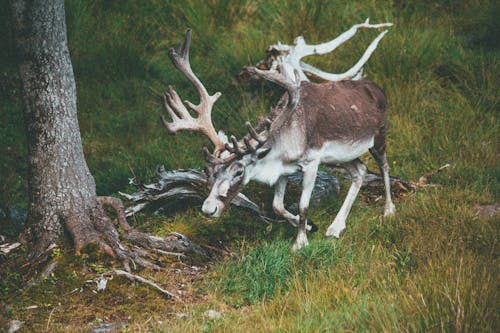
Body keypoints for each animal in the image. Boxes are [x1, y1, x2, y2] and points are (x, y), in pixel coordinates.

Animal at [162, 24, 396, 249]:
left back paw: (388, 210)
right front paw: (310, 226)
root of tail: (379, 89)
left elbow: (303, 205)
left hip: (379, 134)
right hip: (340, 157)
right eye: (208, 171)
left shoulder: (312, 161)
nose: (209, 209)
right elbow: (277, 206)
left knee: (384, 165)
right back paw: (335, 227)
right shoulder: (284, 170)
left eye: (239, 171)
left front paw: (300, 243)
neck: (283, 147)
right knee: (360, 170)